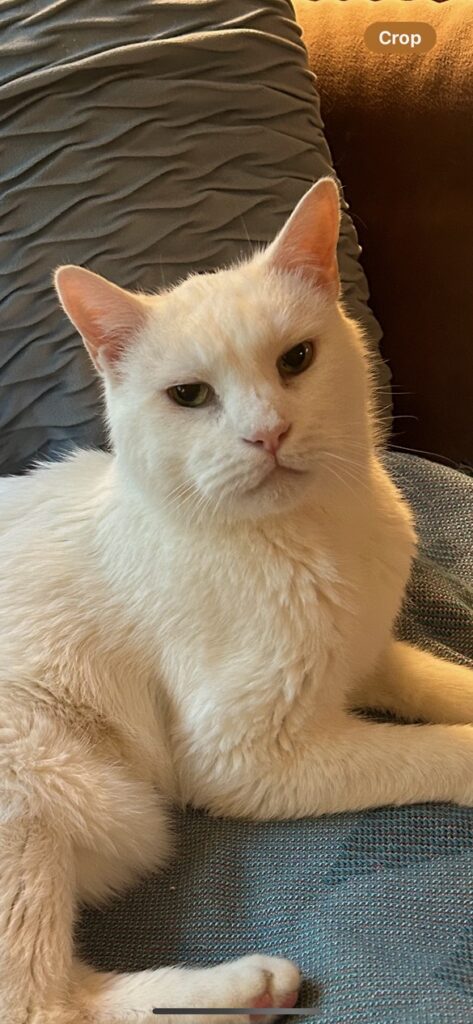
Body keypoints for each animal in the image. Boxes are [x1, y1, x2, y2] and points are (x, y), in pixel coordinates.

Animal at [0, 180, 473, 1019]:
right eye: (189, 396)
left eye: (296, 360)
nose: (269, 432)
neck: (317, 533)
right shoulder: (244, 757)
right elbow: (432, 748)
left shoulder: (365, 656)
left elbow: (436, 684)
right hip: (45, 779)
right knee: (42, 1004)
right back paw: (243, 985)